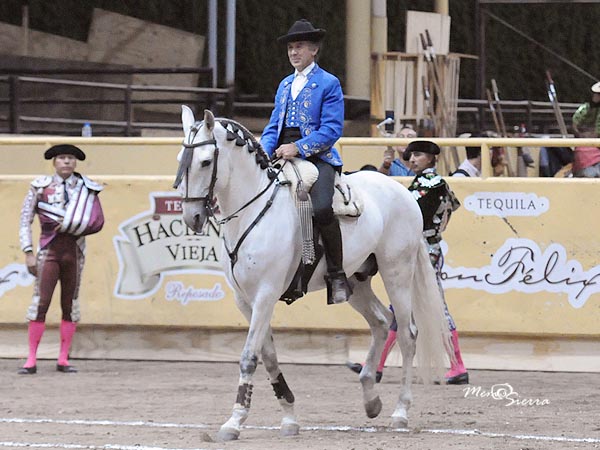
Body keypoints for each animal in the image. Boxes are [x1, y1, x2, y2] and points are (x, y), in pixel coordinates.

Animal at [173, 107, 450, 442]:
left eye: (204, 161)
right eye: (181, 159)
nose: (192, 217)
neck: (254, 211)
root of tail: (403, 192)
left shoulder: (266, 295)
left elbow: (249, 356)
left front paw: (234, 421)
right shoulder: (246, 300)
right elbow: (268, 356)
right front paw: (289, 417)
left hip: (397, 271)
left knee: (407, 333)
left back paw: (400, 412)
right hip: (355, 281)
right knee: (381, 322)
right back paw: (371, 398)